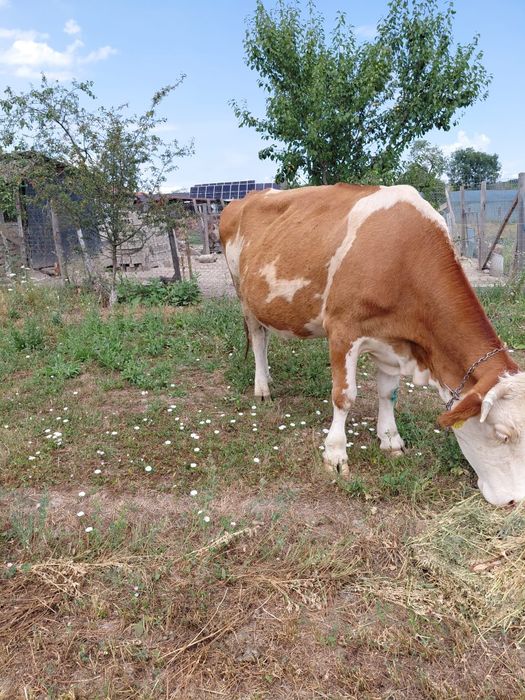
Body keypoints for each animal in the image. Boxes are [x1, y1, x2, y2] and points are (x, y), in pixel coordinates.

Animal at [219, 184, 525, 506]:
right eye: (503, 435)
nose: (515, 501)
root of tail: (248, 196)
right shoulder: (342, 331)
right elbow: (344, 396)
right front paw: (335, 455)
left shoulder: (392, 339)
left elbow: (388, 393)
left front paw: (390, 440)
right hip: (243, 294)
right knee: (258, 339)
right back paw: (262, 387)